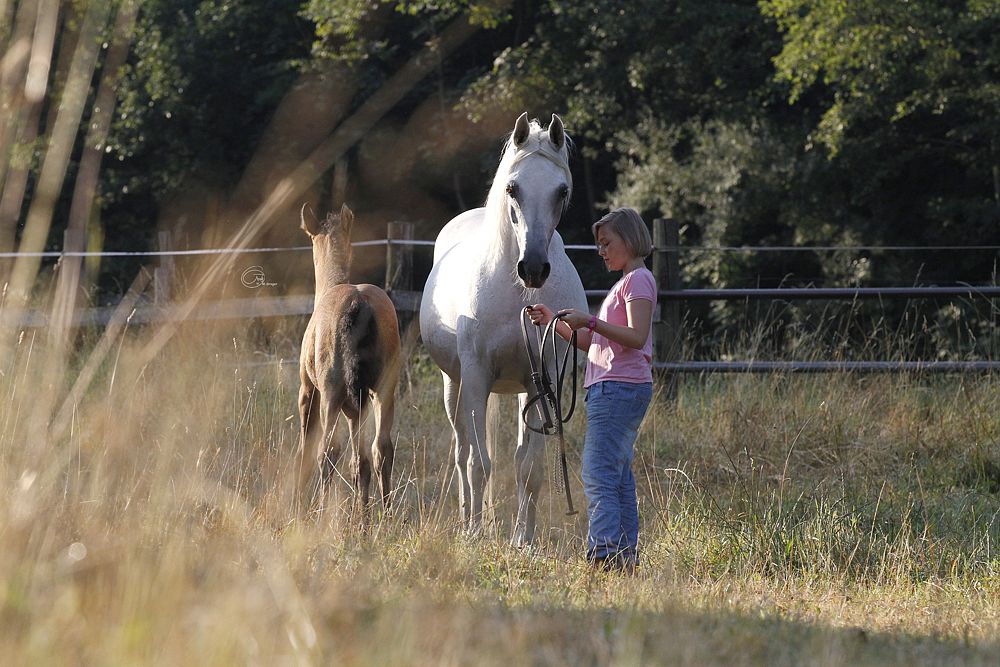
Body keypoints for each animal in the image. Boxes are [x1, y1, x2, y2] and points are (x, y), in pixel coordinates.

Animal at [420, 112, 588, 544]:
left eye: (562, 190)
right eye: (512, 188)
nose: (533, 268)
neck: (518, 296)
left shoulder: (543, 380)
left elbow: (529, 468)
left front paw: (523, 541)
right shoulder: (476, 377)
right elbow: (479, 464)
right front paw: (476, 535)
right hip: (454, 385)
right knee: (463, 452)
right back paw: (469, 520)